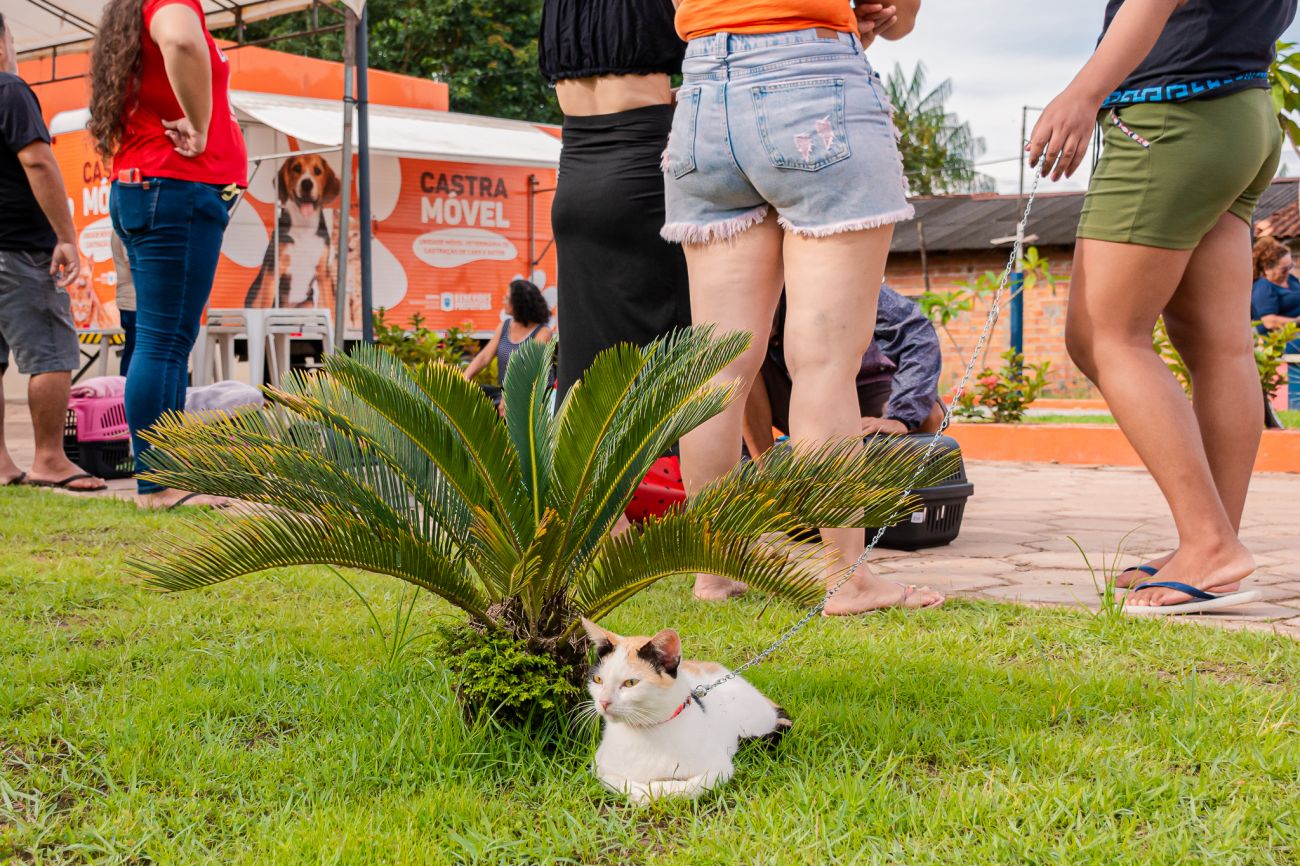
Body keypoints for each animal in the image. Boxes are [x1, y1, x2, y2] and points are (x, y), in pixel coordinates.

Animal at [581, 618, 792, 805]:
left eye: (630, 683)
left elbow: (684, 787)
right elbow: (622, 782)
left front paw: (653, 792)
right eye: (598, 680)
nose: (603, 702)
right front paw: (641, 794)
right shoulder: (599, 766)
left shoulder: (719, 769)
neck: (646, 730)